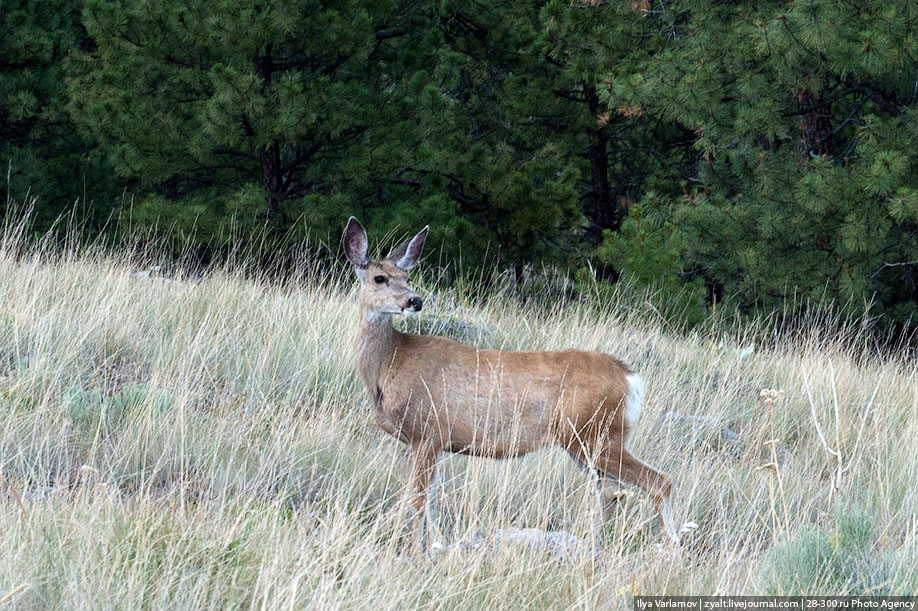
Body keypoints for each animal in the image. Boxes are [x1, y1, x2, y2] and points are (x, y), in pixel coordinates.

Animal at [342, 218, 680, 556]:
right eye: (380, 278)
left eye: (407, 277)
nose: (415, 300)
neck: (390, 363)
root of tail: (631, 379)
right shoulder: (435, 442)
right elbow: (433, 500)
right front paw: (435, 546)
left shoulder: (426, 432)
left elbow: (419, 499)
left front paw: (419, 551)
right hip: (586, 441)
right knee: (610, 491)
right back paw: (593, 546)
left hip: (596, 433)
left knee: (658, 481)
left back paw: (671, 548)